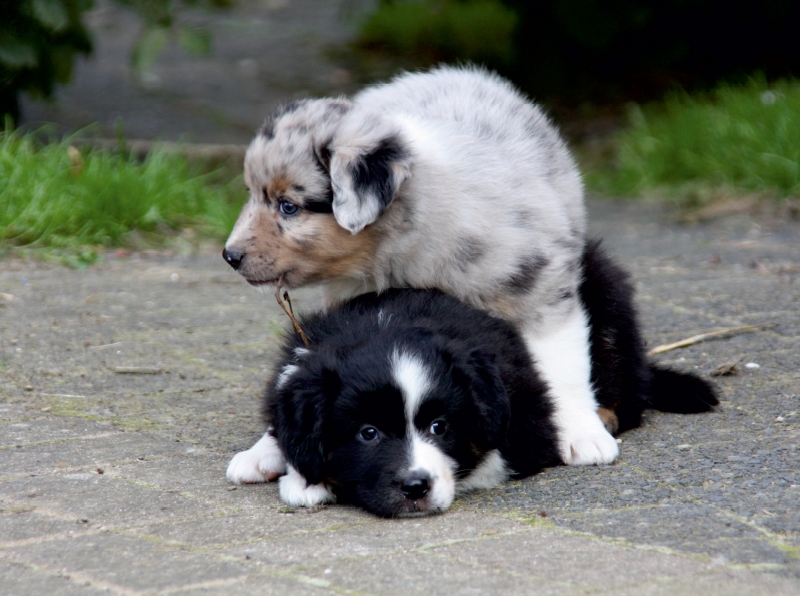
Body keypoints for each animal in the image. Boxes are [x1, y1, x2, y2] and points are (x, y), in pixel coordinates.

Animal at [227, 242, 720, 516]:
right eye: (368, 433)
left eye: (439, 427)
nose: (416, 487)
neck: (390, 322)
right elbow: (285, 418)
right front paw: (268, 457)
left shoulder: (521, 427)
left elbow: (480, 456)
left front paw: (306, 481)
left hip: (603, 298)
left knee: (626, 391)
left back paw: (595, 424)